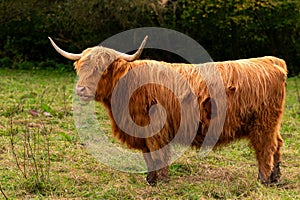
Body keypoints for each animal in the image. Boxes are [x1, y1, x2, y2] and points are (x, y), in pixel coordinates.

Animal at [48, 36, 286, 185]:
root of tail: (271, 61)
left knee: (265, 149)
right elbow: (148, 156)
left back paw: (264, 180)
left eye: (103, 70)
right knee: (277, 145)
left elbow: (158, 154)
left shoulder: (156, 130)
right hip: (271, 124)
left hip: (263, 124)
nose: (80, 90)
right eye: (80, 68)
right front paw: (150, 179)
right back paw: (275, 178)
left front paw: (161, 181)